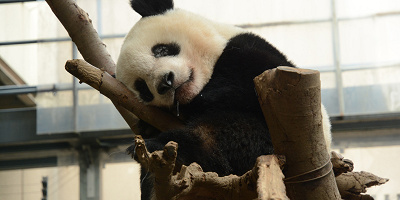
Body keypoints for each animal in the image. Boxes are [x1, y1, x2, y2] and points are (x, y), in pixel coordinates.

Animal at [116, 0, 332, 198]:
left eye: (161, 50)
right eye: (143, 88)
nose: (165, 82)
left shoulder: (255, 54)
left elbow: (249, 81)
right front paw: (147, 126)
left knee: (232, 133)